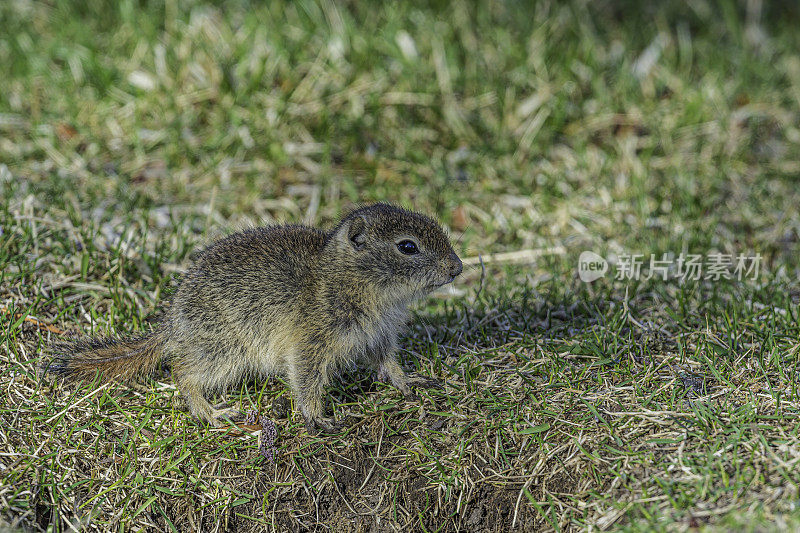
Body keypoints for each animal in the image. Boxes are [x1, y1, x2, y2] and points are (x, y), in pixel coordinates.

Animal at [47, 204, 462, 432]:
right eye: (407, 246)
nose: (457, 267)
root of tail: (171, 324)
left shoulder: (380, 335)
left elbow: (389, 364)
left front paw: (412, 382)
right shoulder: (312, 342)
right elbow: (307, 381)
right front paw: (319, 419)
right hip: (225, 350)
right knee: (183, 372)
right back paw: (213, 413)